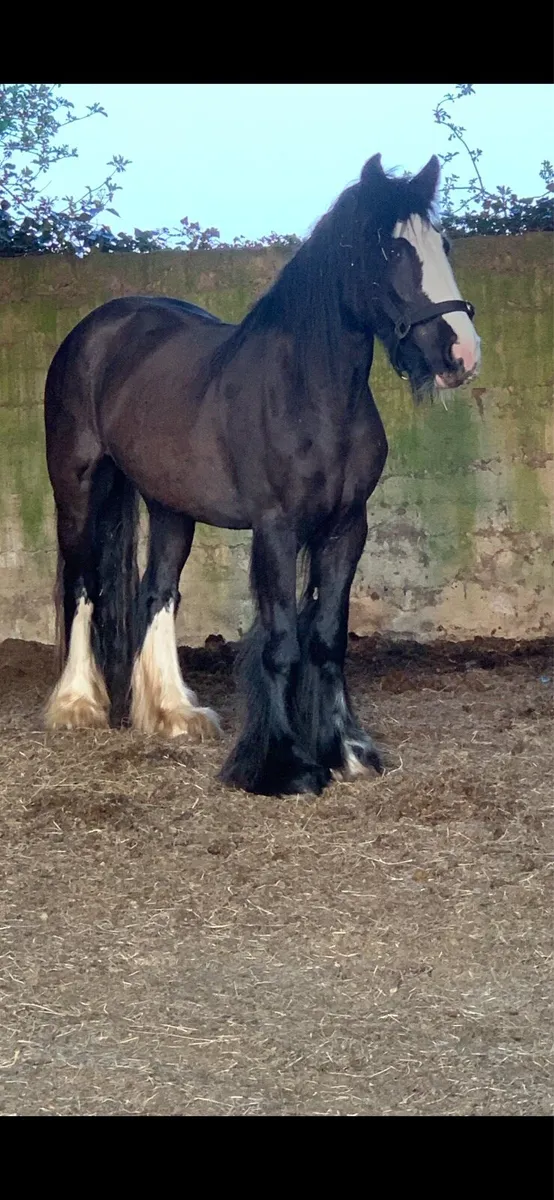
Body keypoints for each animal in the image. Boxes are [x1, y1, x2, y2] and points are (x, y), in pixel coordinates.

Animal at [43, 153, 480, 796]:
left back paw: (174, 713)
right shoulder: (276, 528)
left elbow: (325, 638)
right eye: (391, 250)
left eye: (444, 244)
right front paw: (283, 766)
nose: (462, 355)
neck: (309, 393)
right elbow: (280, 642)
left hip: (170, 504)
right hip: (76, 485)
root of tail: (96, 330)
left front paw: (346, 751)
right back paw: (77, 704)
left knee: (157, 591)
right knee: (81, 584)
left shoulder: (347, 528)